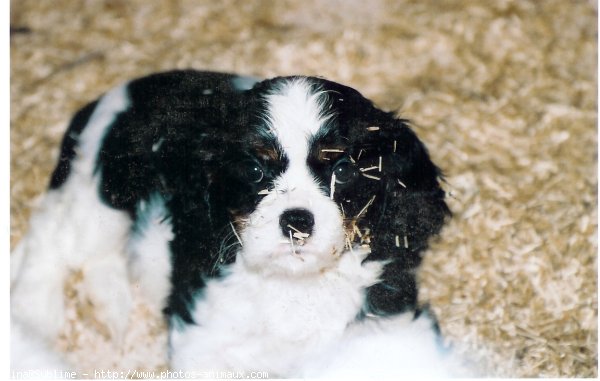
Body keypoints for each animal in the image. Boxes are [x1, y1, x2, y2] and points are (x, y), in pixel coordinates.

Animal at [11, 71, 452, 378]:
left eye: (343, 170)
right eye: (255, 170)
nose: (296, 221)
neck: (293, 287)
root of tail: (116, 95)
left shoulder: (388, 326)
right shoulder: (204, 339)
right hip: (97, 199)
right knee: (50, 238)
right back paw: (36, 313)